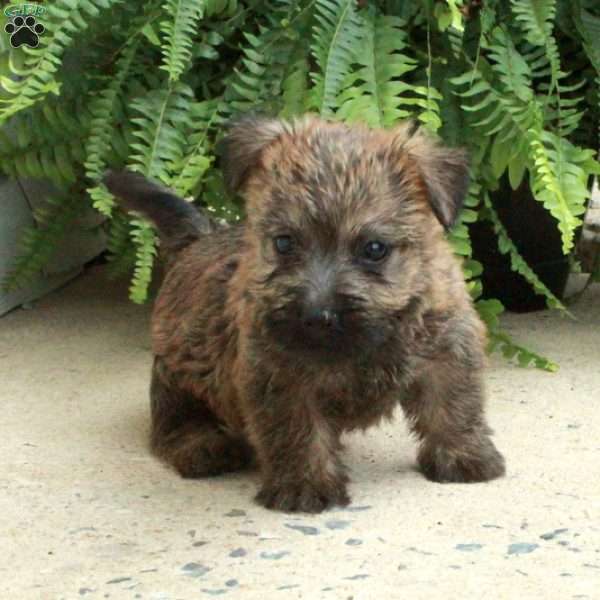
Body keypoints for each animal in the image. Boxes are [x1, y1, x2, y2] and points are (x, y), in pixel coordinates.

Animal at [104, 115, 506, 512]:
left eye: (374, 249)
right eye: (284, 243)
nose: (317, 316)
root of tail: (198, 239)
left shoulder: (448, 349)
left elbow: (454, 407)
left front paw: (465, 458)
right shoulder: (280, 376)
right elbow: (297, 432)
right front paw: (304, 487)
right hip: (175, 373)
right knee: (173, 421)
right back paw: (202, 446)